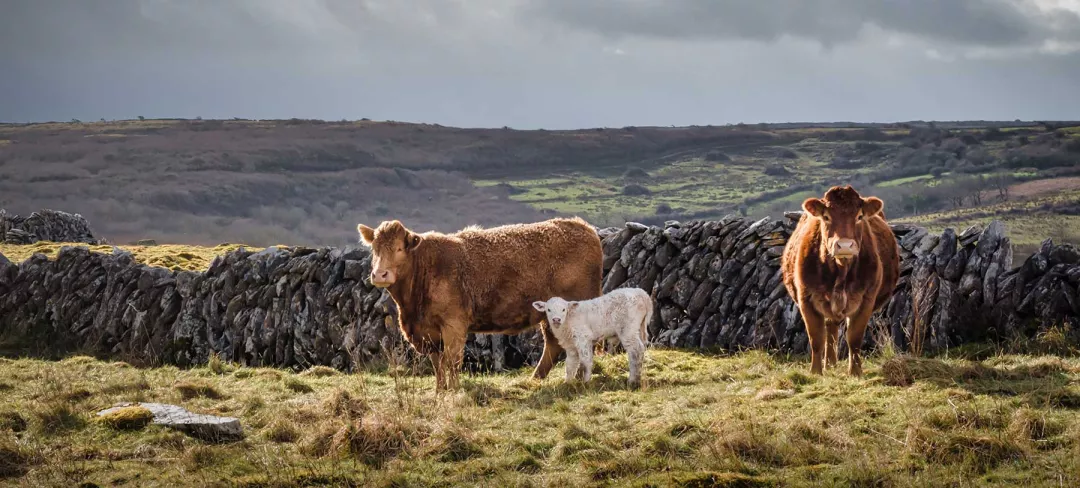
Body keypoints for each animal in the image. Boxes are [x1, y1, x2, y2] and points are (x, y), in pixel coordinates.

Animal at [358, 215, 604, 388]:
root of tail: (583, 227)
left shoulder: (454, 325)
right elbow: (438, 364)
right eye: (374, 249)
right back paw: (535, 379)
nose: (380, 274)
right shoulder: (428, 333)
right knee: (553, 345)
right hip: (550, 314)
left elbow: (452, 360)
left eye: (399, 248)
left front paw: (454, 390)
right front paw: (440, 391)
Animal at [781, 184, 898, 375]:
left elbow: (854, 339)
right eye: (826, 217)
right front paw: (815, 372)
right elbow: (816, 339)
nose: (844, 246)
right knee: (830, 330)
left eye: (859, 216)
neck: (840, 272)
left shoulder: (866, 300)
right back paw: (829, 364)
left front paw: (855, 371)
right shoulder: (806, 299)